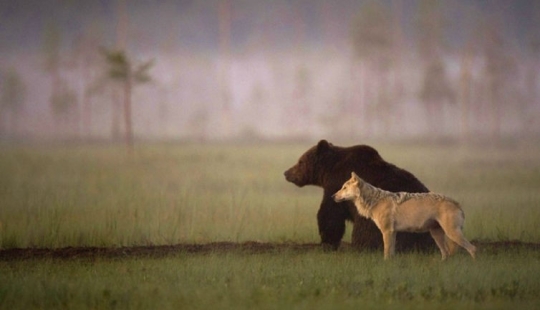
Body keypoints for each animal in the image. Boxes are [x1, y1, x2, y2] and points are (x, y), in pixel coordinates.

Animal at [282, 140, 434, 252]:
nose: (286, 172)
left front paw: (327, 241)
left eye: (300, 161)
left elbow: (330, 214)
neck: (329, 170)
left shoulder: (336, 185)